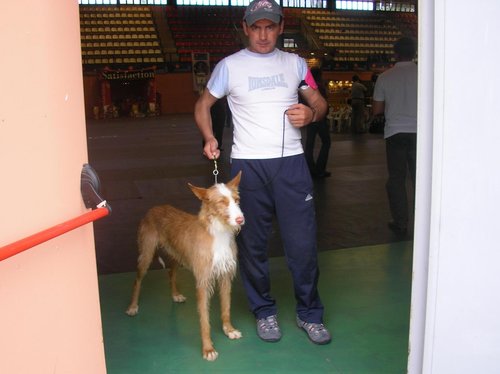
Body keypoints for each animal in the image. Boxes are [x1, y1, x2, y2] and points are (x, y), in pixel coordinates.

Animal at [124, 171, 243, 360]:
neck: (218, 233)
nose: (241, 219)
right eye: (221, 202)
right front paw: (208, 349)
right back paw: (133, 307)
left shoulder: (225, 276)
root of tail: (155, 207)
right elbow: (204, 320)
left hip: (176, 256)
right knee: (137, 280)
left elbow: (226, 308)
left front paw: (229, 330)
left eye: (236, 200)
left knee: (170, 274)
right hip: (146, 255)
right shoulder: (203, 282)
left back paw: (175, 295)